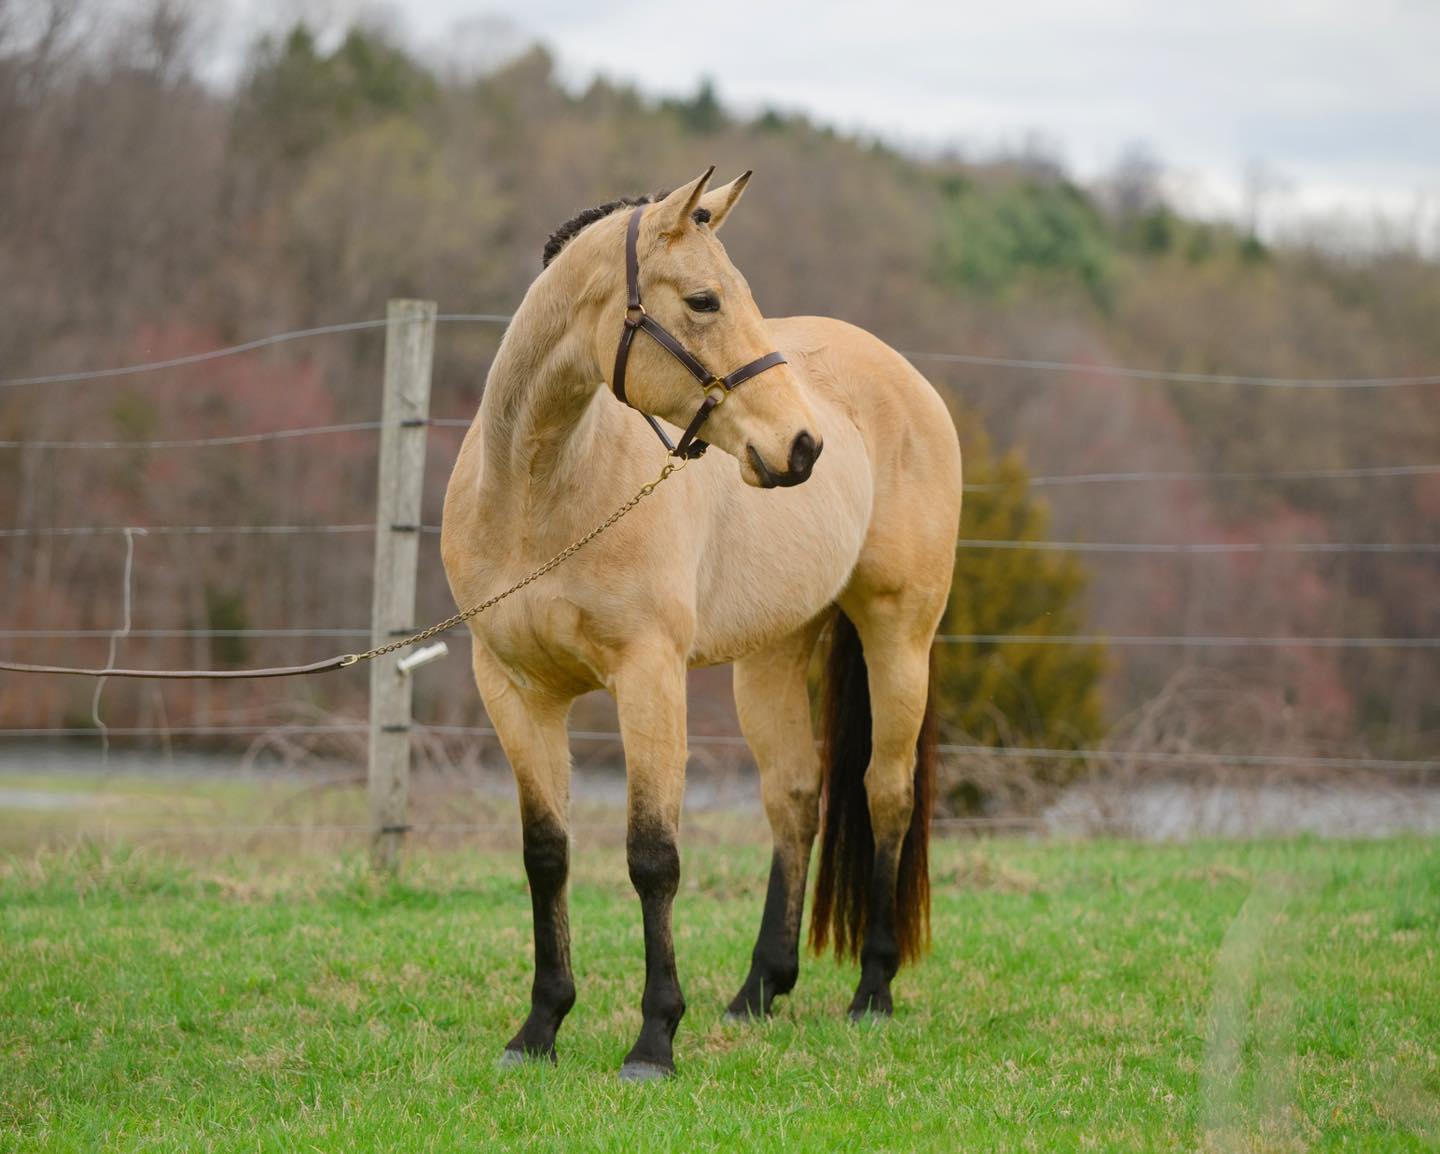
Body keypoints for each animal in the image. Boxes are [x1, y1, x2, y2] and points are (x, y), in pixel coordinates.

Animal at [440, 167, 963, 1081]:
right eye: (705, 299)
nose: (802, 446)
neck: (540, 492)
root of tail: (904, 379)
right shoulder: (514, 690)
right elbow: (547, 855)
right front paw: (539, 1029)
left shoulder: (648, 677)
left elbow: (653, 858)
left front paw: (654, 1039)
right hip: (774, 655)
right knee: (795, 799)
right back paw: (759, 990)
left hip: (900, 638)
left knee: (885, 795)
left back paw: (872, 992)